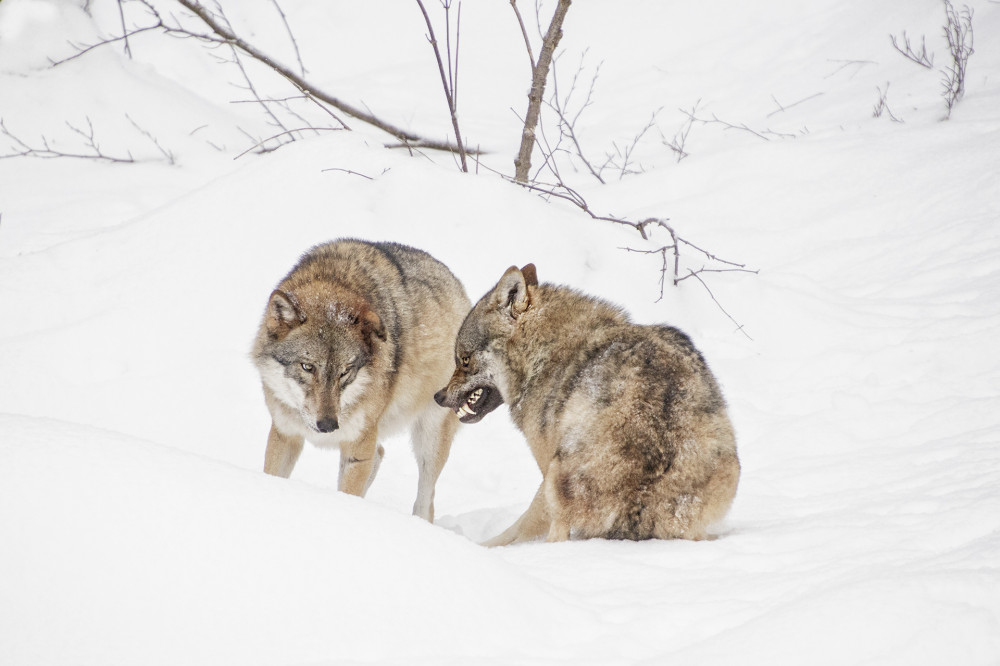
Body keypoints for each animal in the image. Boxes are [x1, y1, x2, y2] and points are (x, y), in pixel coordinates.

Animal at [250, 239, 468, 520]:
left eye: (345, 371)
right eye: (307, 367)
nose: (328, 425)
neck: (333, 281)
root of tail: (455, 281)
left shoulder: (357, 445)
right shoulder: (284, 435)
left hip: (429, 439)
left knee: (425, 499)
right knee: (381, 453)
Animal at [434, 262, 740, 544]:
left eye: (464, 359)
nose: (438, 396)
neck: (541, 354)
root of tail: (642, 501)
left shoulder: (545, 464)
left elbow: (520, 527)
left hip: (557, 473)